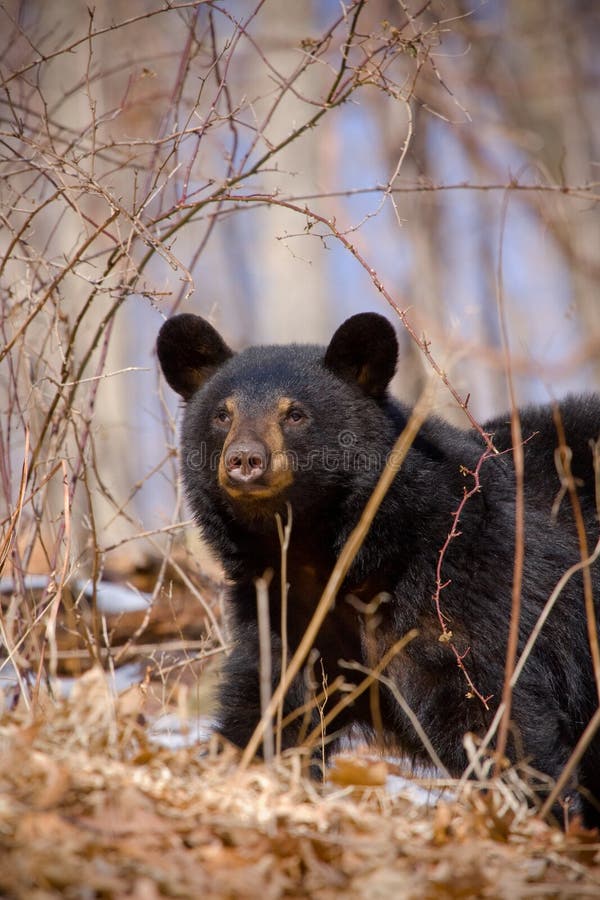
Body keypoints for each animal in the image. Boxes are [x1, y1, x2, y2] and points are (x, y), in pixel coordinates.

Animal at [156, 312, 600, 828]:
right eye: (222, 414)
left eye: (295, 414)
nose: (245, 460)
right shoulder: (285, 614)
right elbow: (272, 706)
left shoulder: (462, 586)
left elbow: (492, 710)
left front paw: (536, 814)